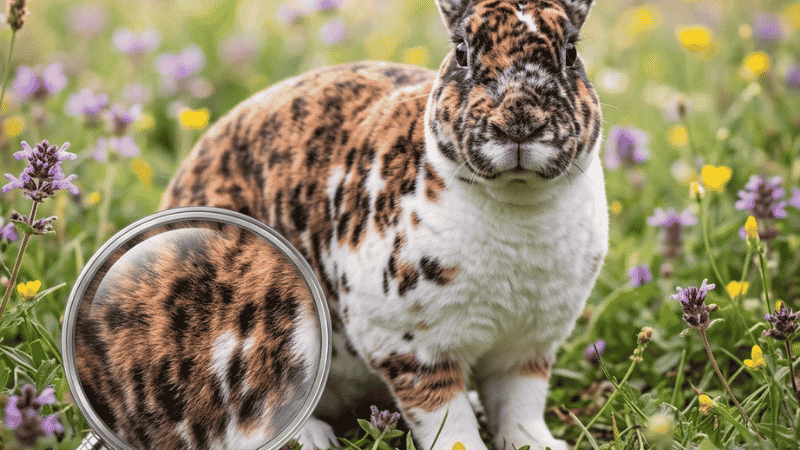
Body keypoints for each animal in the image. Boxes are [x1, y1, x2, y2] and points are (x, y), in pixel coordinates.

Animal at [159, 0, 607, 449]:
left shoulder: (526, 349)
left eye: (571, 52)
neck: (516, 199)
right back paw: (313, 437)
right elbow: (446, 417)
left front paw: (541, 444)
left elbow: (519, 408)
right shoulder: (413, 350)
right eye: (462, 52)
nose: (519, 122)